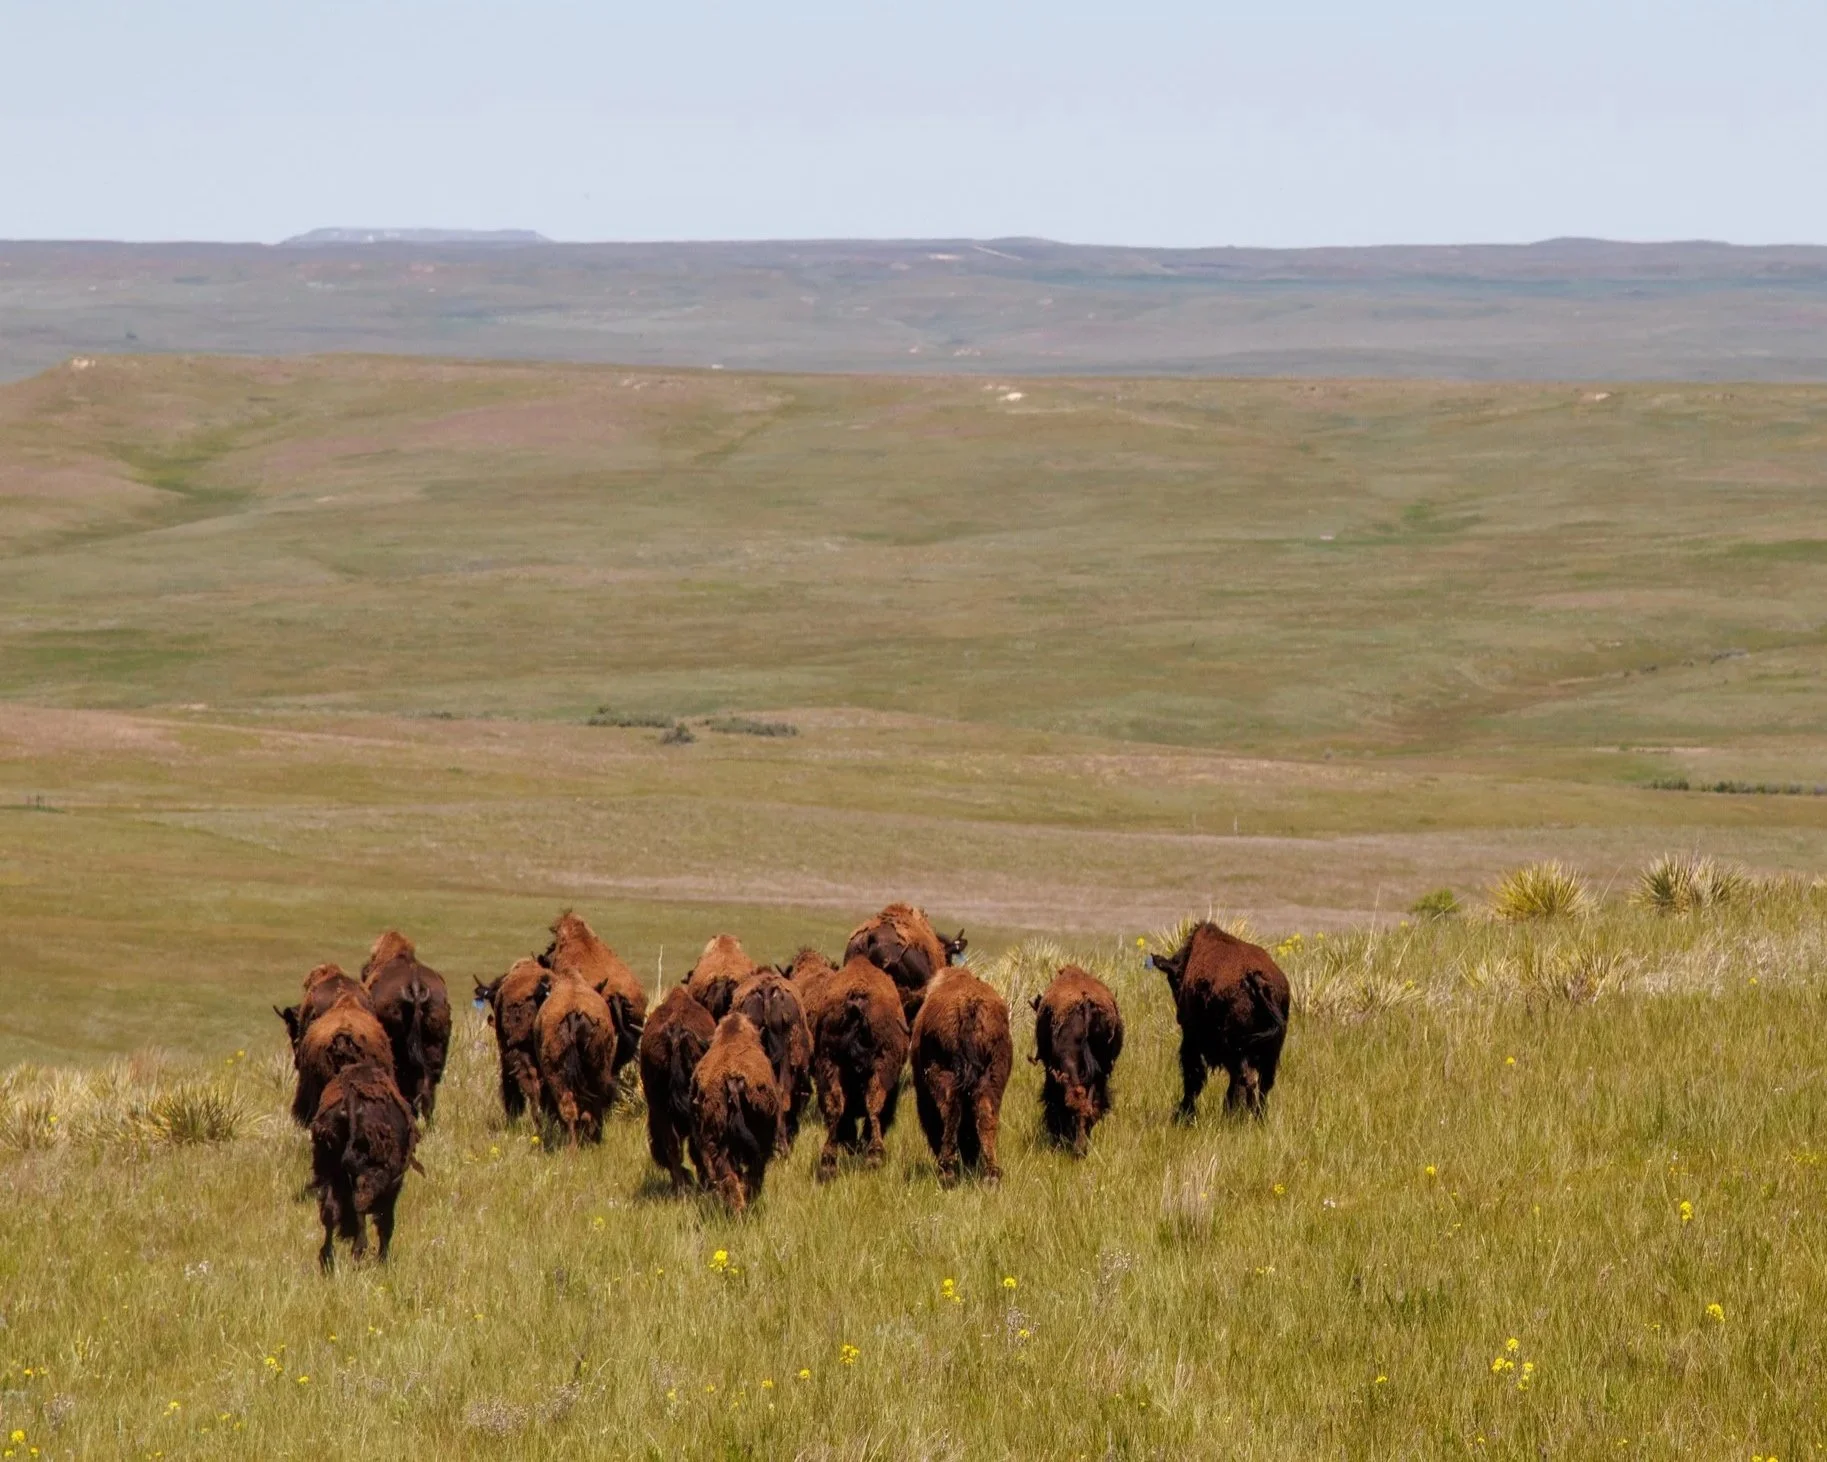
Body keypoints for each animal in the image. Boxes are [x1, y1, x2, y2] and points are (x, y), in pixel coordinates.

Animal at [309, 1061, 422, 1271]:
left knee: (330, 1212)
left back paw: (328, 1260)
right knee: (361, 1206)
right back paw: (359, 1253)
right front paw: (383, 1260)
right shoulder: (394, 1184)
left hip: (328, 1170)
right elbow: (386, 1221)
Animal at [801, 955, 910, 1181]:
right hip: (880, 1071)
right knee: (874, 1106)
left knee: (835, 1107)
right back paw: (874, 1156)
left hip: (830, 1065)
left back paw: (829, 1163)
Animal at [910, 966, 1013, 1186]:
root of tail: (968, 1007)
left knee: (950, 1114)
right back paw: (991, 1174)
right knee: (986, 1116)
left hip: (941, 1076)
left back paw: (947, 1172)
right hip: (993, 1077)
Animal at [1150, 921, 1291, 1121]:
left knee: (1245, 1079)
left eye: (1174, 980)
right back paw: (1257, 1118)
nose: (1178, 1016)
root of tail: (1258, 980)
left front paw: (1185, 1113)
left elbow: (1193, 1077)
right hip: (1269, 1051)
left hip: (1238, 1049)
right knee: (1262, 1084)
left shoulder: (1191, 1040)